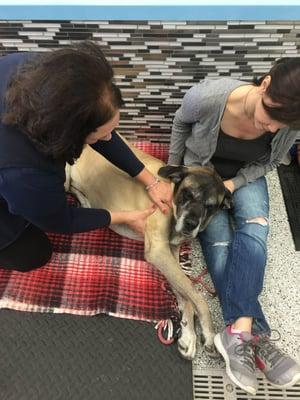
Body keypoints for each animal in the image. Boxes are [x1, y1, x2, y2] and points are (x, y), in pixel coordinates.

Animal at [64, 134, 231, 360]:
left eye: (210, 206)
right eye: (188, 194)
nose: (190, 224)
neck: (171, 192)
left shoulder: (169, 252)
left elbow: (186, 294)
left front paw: (188, 334)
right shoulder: (158, 251)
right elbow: (198, 298)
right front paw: (209, 333)